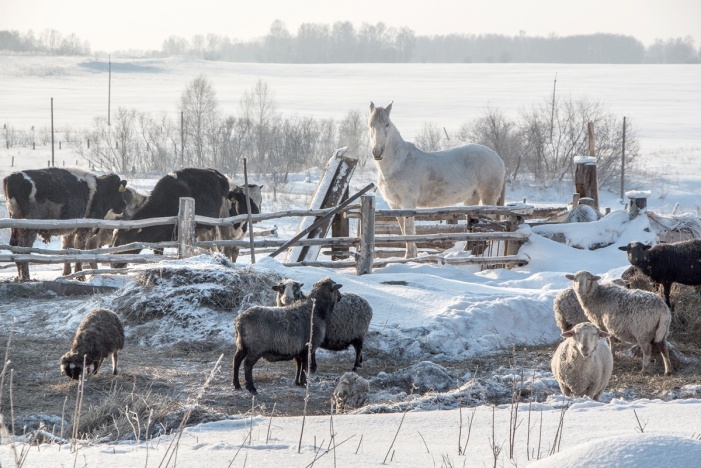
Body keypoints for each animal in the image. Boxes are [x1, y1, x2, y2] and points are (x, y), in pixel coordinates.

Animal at [366, 100, 504, 258]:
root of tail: (497, 157)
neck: (400, 162)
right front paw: (412, 255)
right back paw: (467, 251)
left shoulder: (408, 202)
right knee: (474, 222)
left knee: (490, 220)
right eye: (371, 125)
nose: (377, 152)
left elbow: (409, 229)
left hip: (489, 197)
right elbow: (403, 229)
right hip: (472, 199)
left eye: (387, 124)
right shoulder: (394, 204)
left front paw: (410, 256)